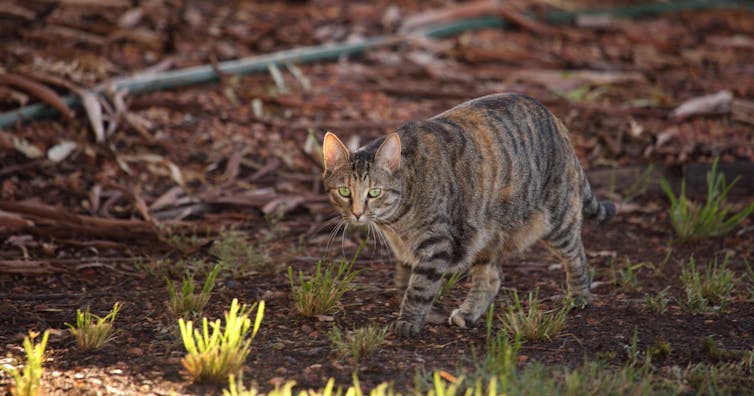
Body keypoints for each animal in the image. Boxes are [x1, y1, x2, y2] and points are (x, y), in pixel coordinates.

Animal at [320, 93, 612, 338]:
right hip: (482, 234)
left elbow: (418, 288)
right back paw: (469, 312)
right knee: (491, 278)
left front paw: (409, 322)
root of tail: (557, 121)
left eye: (375, 192)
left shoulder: (435, 244)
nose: (357, 213)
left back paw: (579, 296)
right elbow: (404, 282)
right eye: (344, 191)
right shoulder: (409, 250)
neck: (397, 222)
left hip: (556, 220)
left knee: (577, 254)